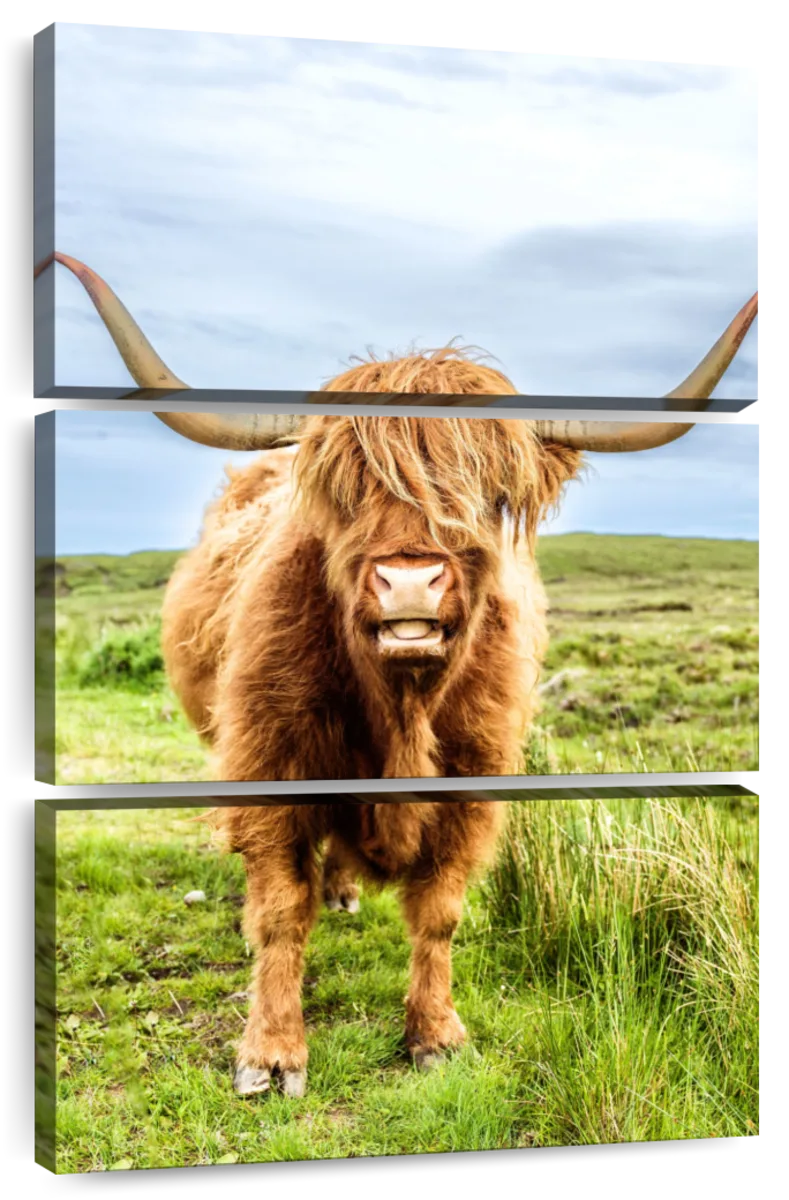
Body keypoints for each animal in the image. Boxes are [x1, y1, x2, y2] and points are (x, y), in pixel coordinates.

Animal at [43, 253, 757, 1099]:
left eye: (488, 494)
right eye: (348, 492)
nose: (409, 582)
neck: (402, 708)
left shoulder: (475, 776)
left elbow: (440, 910)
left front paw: (435, 1034)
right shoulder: (271, 759)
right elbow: (279, 908)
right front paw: (271, 1053)